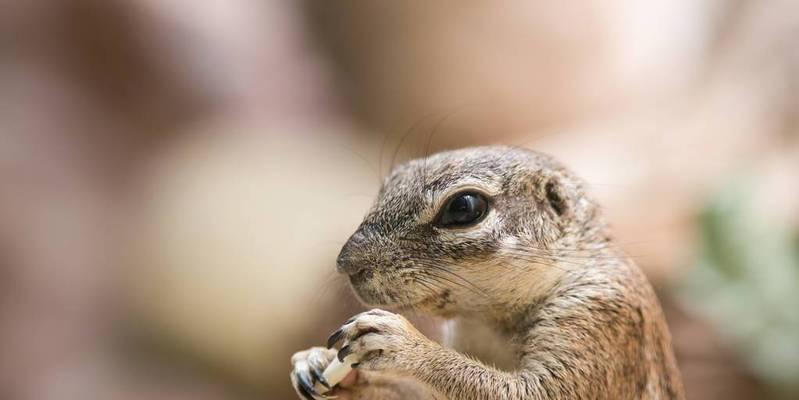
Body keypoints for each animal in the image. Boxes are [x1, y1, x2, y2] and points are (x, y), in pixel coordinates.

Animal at [290, 147, 684, 400]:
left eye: (464, 207)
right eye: (389, 183)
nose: (346, 263)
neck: (490, 319)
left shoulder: (601, 316)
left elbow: (537, 393)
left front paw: (402, 342)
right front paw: (320, 365)